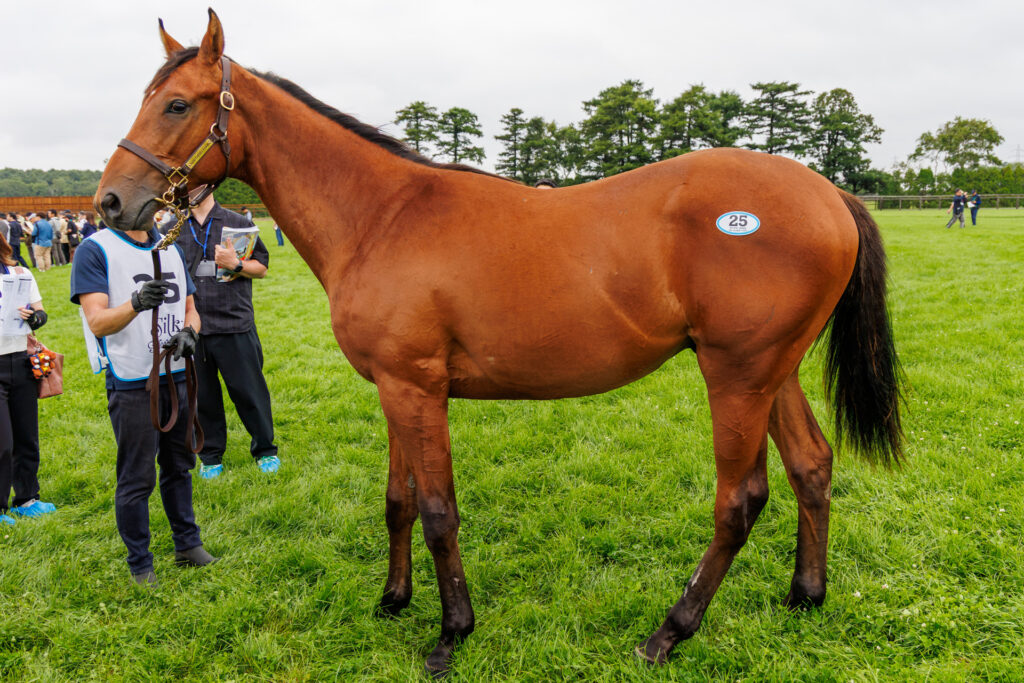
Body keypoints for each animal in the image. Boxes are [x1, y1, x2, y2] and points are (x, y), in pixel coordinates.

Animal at [95, 10, 903, 676]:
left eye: (177, 103)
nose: (109, 201)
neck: (383, 215)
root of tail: (829, 192)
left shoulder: (418, 388)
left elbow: (438, 511)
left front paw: (452, 632)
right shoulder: (395, 388)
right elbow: (399, 500)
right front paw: (392, 599)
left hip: (736, 377)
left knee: (740, 500)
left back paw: (668, 632)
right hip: (772, 373)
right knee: (812, 465)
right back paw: (804, 594)